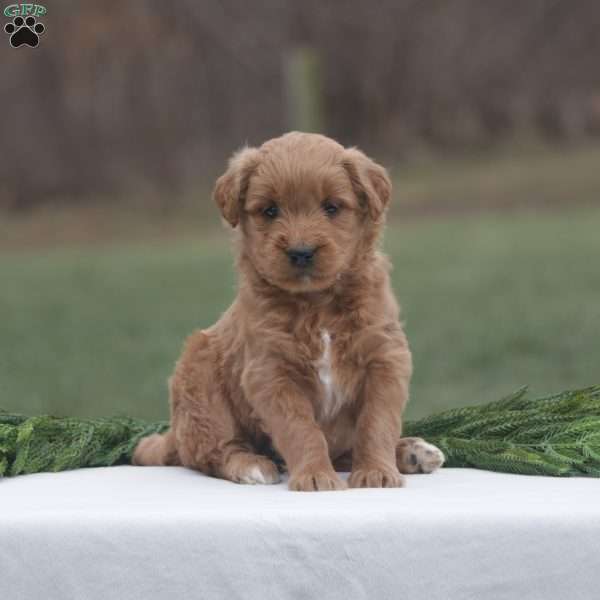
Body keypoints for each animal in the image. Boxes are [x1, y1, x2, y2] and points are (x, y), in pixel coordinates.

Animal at [136, 132, 446, 492]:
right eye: (270, 210)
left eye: (332, 207)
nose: (301, 252)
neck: (317, 304)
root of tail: (175, 432)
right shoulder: (271, 373)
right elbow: (301, 429)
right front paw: (315, 475)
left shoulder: (384, 359)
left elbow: (377, 422)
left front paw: (377, 472)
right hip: (200, 383)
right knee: (212, 449)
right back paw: (249, 465)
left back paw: (413, 451)